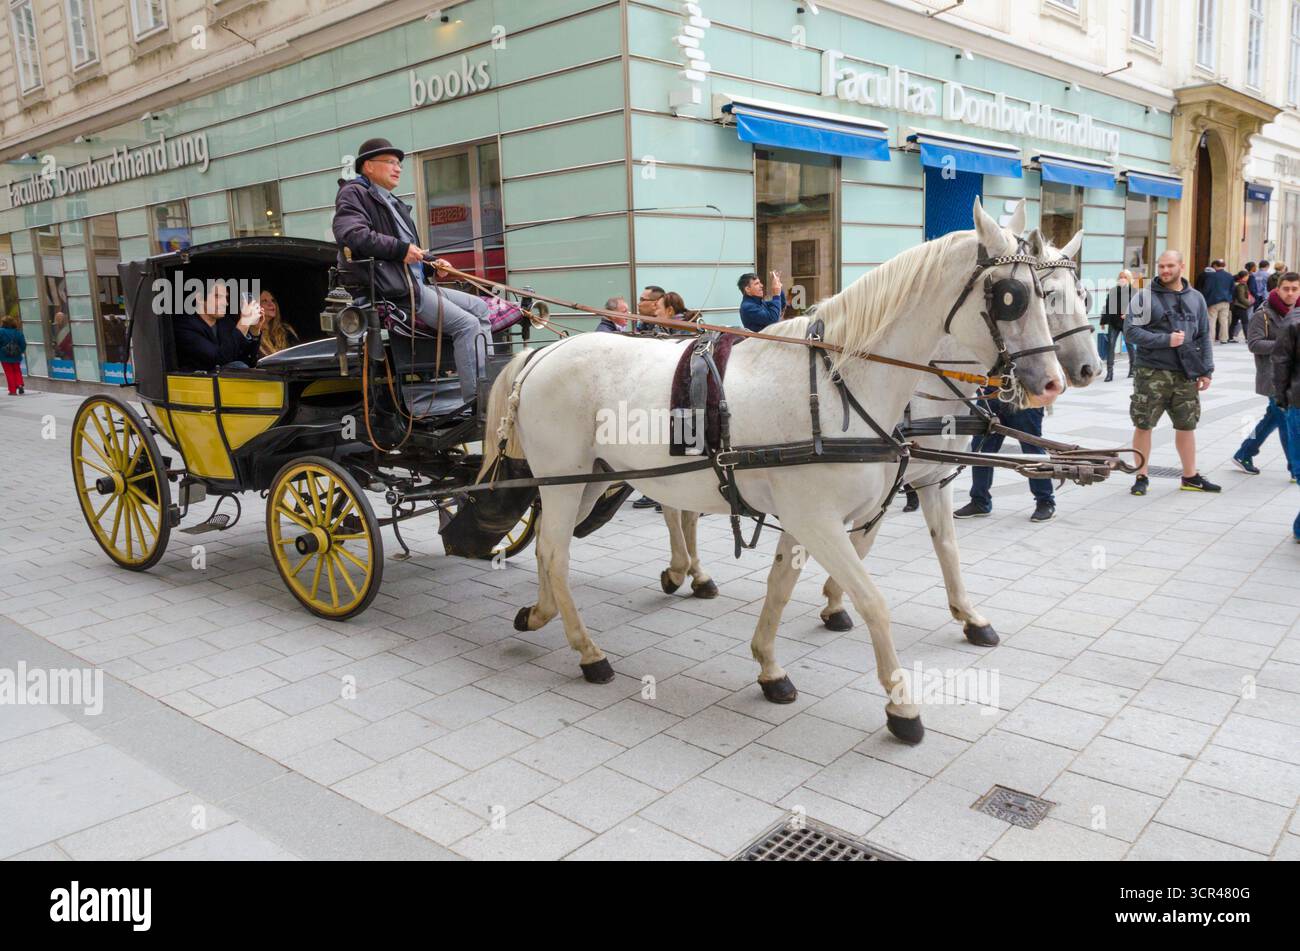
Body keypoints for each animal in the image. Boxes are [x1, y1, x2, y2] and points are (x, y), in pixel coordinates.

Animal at [480, 198, 1064, 744]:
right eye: (1010, 296)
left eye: (1046, 292)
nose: (1054, 381)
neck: (838, 384)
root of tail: (541, 355)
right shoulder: (819, 520)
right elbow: (872, 600)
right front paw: (901, 706)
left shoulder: (816, 517)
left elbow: (782, 585)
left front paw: (769, 666)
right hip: (565, 479)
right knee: (557, 553)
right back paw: (588, 651)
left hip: (589, 479)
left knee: (549, 551)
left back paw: (543, 613)